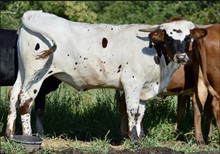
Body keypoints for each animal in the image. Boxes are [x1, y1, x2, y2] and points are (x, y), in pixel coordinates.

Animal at [6, 10, 207, 144]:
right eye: (169, 37)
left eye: (188, 38)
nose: (182, 57)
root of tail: (36, 14)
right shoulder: (132, 83)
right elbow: (132, 111)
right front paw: (134, 140)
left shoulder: (145, 87)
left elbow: (141, 113)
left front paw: (140, 137)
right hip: (36, 75)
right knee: (25, 100)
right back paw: (27, 136)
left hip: (23, 74)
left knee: (13, 95)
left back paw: (10, 134)